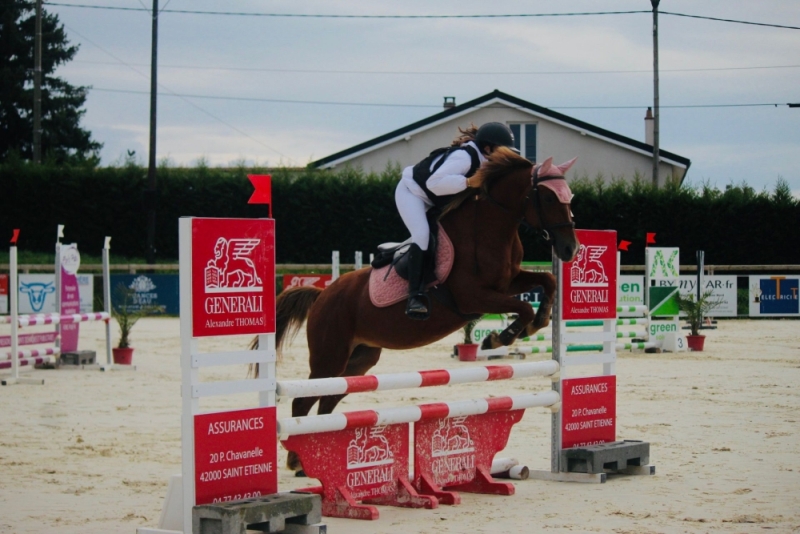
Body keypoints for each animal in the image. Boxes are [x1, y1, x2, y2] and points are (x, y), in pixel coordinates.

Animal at [260, 148, 580, 474]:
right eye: (549, 198)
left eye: (569, 197)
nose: (570, 249)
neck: (488, 228)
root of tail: (323, 294)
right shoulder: (473, 297)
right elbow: (523, 306)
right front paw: (500, 338)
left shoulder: (508, 283)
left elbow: (548, 281)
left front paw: (539, 321)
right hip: (330, 356)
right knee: (304, 399)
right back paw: (296, 459)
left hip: (359, 360)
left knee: (329, 398)